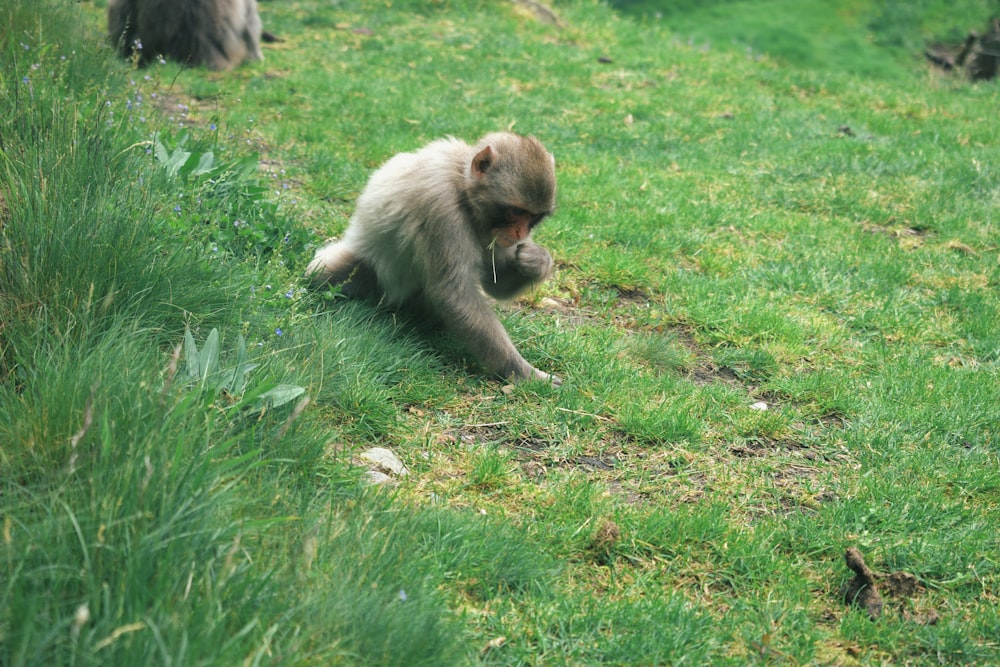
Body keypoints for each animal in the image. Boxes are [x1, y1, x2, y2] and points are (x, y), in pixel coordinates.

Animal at [304, 132, 564, 386]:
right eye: (515, 212)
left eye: (533, 217)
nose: (520, 233)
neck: (463, 189)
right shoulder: (442, 207)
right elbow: (454, 294)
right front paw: (524, 374)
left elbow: (494, 283)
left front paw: (537, 261)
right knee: (325, 273)